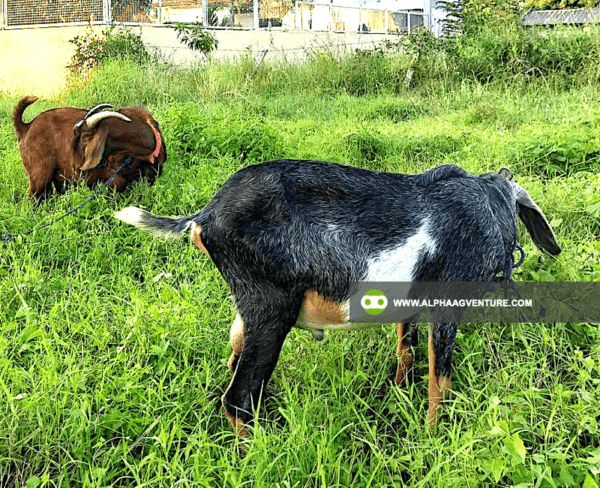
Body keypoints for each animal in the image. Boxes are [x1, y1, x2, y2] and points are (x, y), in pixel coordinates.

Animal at [13, 95, 166, 200]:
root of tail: (26, 127)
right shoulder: (114, 179)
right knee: (34, 196)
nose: (75, 167)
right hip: (39, 174)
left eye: (85, 136)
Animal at [115, 159, 560, 430]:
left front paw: (398, 394)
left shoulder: (412, 304)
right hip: (270, 307)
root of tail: (205, 215)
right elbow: (441, 378)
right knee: (238, 396)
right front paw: (435, 433)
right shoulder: (448, 302)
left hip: (249, 308)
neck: (489, 206)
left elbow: (407, 350)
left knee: (234, 361)